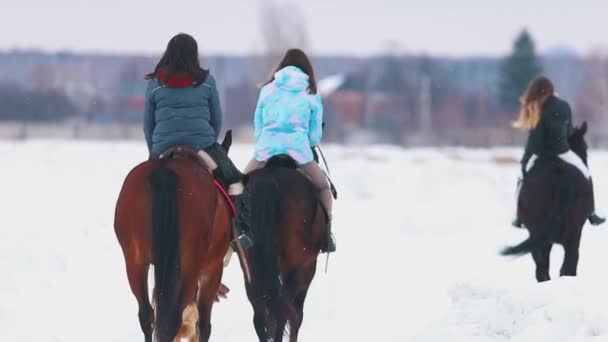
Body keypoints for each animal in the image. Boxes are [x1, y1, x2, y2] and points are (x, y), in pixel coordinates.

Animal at [114, 132, 235, 342]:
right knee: (176, 319)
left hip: (135, 260)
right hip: (190, 265)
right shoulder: (212, 269)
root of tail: (166, 171)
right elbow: (204, 325)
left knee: (148, 315)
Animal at [238, 156, 330, 342]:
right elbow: (297, 316)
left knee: (260, 315)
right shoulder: (308, 266)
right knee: (284, 313)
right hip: (296, 265)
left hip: (250, 265)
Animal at [504, 121, 592, 282]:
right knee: (566, 264)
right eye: (585, 149)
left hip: (543, 235)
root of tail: (559, 173)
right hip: (571, 232)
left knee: (544, 267)